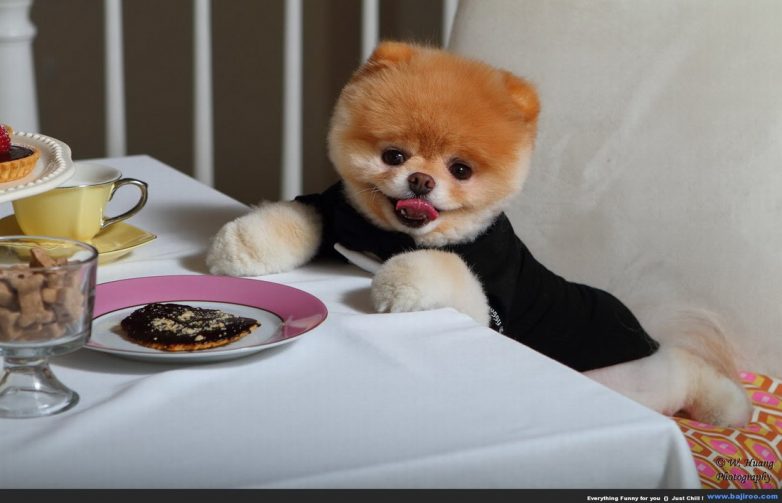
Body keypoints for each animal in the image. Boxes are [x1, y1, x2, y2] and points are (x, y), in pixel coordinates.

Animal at [206, 41, 751, 427]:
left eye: (461, 169)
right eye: (393, 155)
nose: (421, 181)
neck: (390, 238)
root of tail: (648, 334)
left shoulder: (488, 309)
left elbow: (445, 271)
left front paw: (398, 282)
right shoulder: (337, 210)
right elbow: (295, 218)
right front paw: (239, 245)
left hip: (635, 378)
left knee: (686, 372)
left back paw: (729, 405)